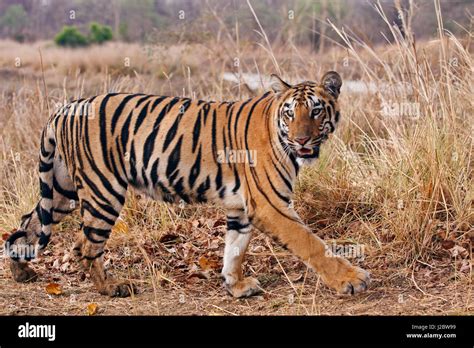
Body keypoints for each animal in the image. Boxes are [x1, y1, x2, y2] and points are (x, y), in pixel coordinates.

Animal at [5, 71, 372, 300]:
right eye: (290, 114)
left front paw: (236, 286)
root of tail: (66, 107)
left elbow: (234, 249)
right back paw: (111, 288)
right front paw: (352, 280)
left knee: (25, 226)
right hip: (103, 190)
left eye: (316, 111)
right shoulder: (271, 205)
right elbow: (312, 244)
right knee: (84, 245)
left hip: (61, 190)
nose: (302, 140)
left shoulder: (241, 208)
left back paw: (21, 271)